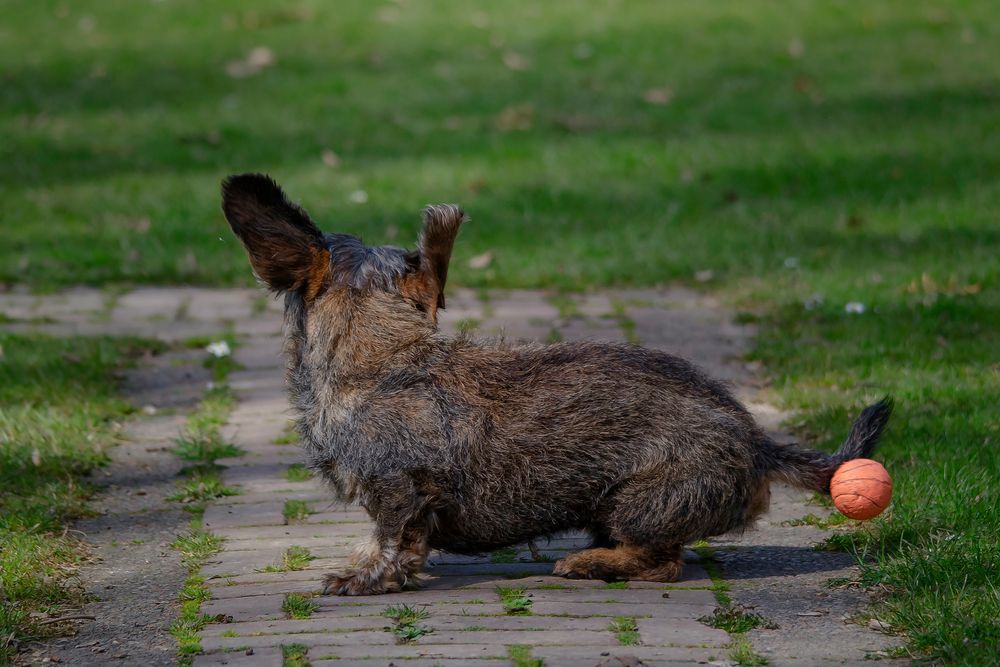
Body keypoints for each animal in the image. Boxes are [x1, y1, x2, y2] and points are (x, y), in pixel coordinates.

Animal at [221, 172, 892, 596]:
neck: (384, 361)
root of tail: (757, 442)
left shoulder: (399, 489)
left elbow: (392, 540)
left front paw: (364, 577)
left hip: (637, 503)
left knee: (663, 563)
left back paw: (589, 563)